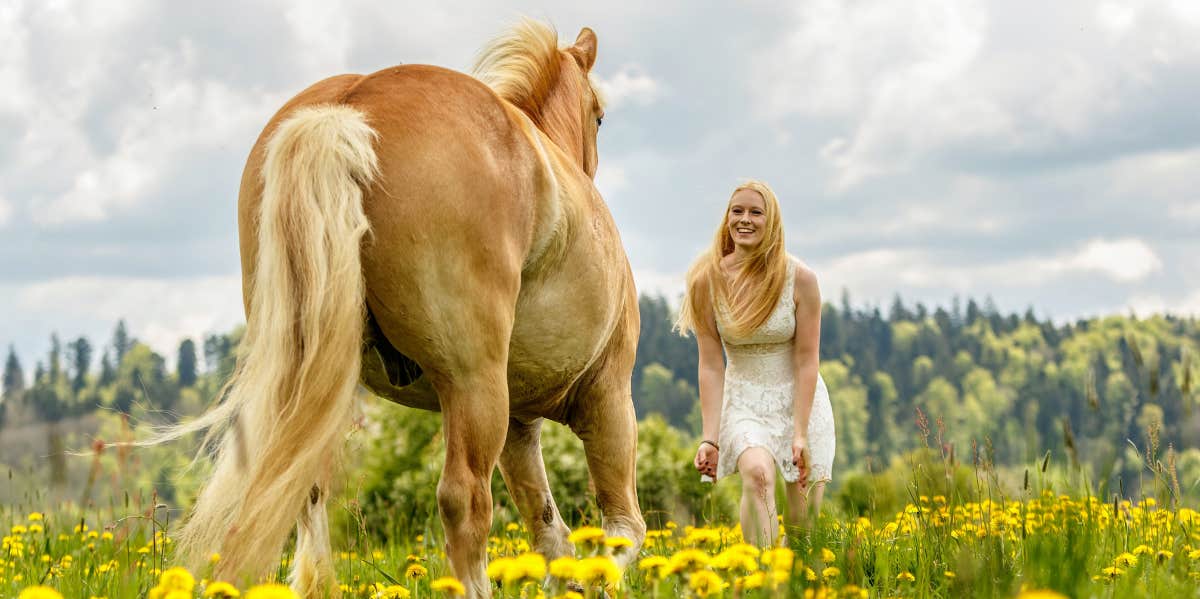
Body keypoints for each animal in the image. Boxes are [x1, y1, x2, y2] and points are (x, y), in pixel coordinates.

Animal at [170, 19, 648, 599]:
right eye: (599, 115)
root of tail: (349, 106)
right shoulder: (607, 396)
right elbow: (621, 531)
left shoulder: (518, 425)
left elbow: (550, 534)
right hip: (473, 386)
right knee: (463, 499)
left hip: (318, 378)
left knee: (302, 485)